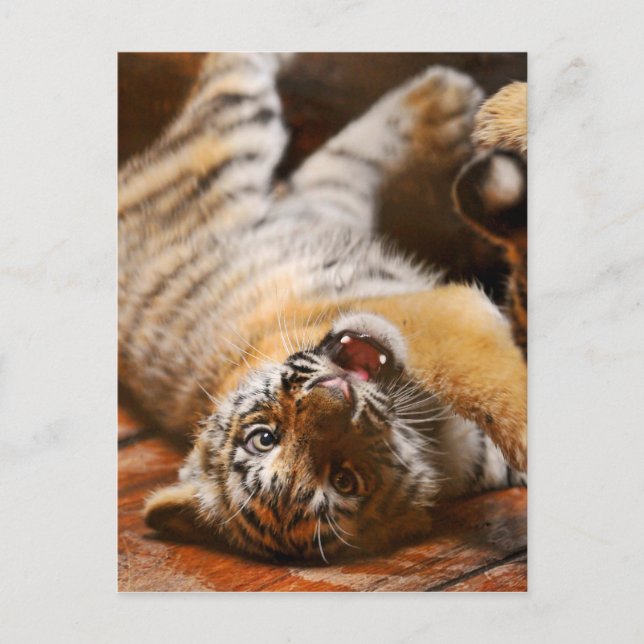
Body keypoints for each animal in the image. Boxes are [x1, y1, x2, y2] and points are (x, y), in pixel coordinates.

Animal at [119, 53, 527, 561]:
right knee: (335, 159)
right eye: (344, 480)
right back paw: (446, 99)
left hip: (238, 143)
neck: (432, 440)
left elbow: (486, 378)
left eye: (262, 436)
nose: (339, 395)